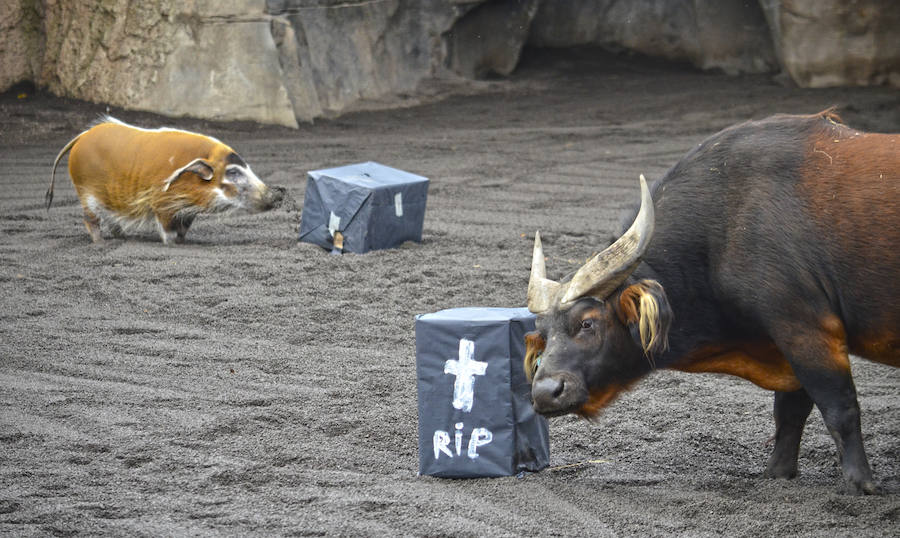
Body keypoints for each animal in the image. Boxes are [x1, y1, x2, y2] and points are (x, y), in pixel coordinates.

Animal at [528, 110, 900, 494]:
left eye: (587, 322)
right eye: (542, 333)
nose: (544, 392)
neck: (727, 225)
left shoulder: (805, 328)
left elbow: (839, 407)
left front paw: (861, 482)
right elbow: (790, 410)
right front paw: (778, 471)